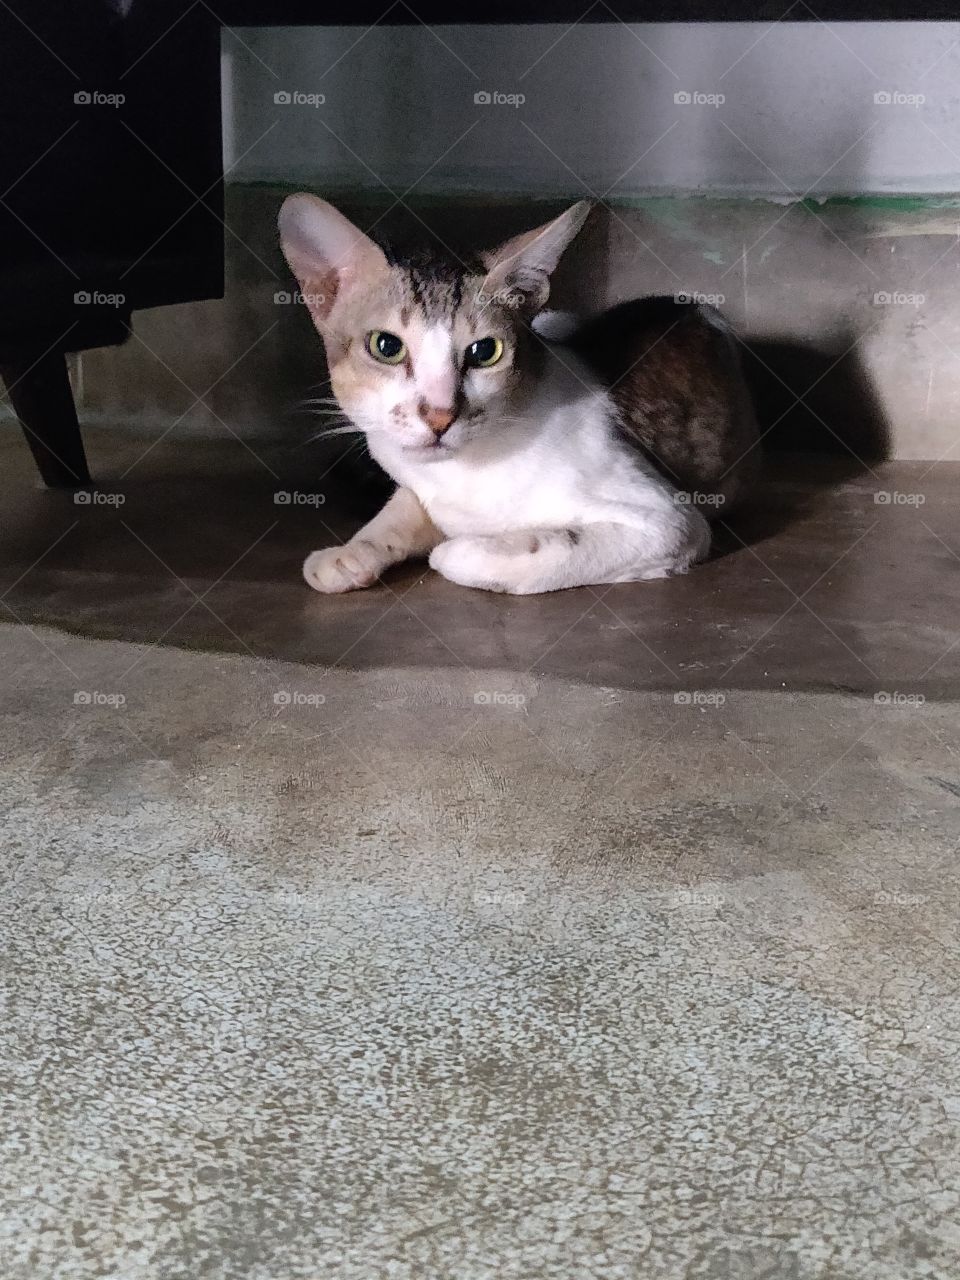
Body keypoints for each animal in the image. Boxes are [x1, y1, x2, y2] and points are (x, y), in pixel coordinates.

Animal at [276, 194, 757, 593]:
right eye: (386, 346)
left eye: (484, 351)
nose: (440, 415)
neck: (463, 472)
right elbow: (401, 512)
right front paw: (350, 553)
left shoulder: (669, 522)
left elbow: (480, 553)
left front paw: (466, 546)